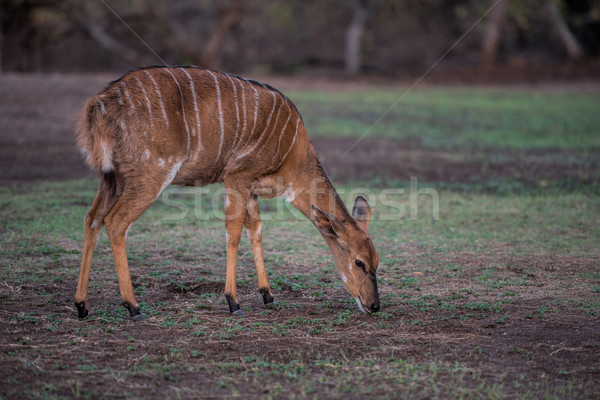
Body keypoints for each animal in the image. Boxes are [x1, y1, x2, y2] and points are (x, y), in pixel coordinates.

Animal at [72, 67, 378, 320]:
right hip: (150, 174)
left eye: (377, 260)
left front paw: (267, 295)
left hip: (112, 178)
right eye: (359, 262)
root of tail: (98, 103)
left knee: (92, 219)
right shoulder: (237, 177)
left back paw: (82, 306)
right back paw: (133, 307)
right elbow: (234, 232)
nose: (374, 305)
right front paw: (233, 302)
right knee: (116, 222)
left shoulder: (252, 188)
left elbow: (256, 231)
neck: (293, 153)